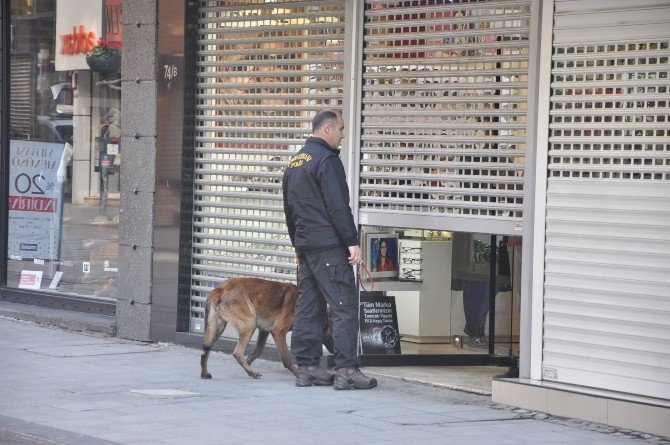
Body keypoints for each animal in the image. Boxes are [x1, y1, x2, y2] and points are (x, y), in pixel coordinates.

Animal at [200, 278, 336, 378]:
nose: (335, 352)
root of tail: (220, 288)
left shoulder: (264, 331)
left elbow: (258, 351)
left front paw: (247, 365)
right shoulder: (278, 332)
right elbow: (286, 358)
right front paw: (299, 374)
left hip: (217, 329)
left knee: (205, 351)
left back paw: (205, 374)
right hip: (250, 323)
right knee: (237, 353)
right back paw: (252, 373)